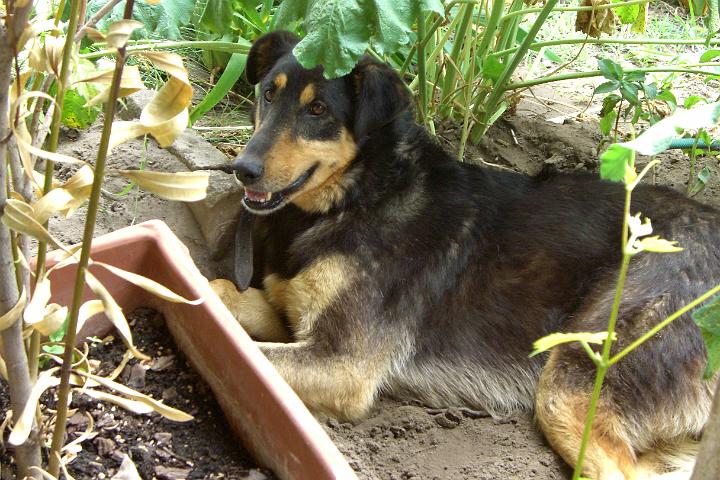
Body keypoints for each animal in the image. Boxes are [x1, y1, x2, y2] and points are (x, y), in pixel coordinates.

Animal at [210, 31, 720, 478]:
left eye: (317, 109)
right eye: (268, 95)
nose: (241, 169)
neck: (363, 191)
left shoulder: (342, 365)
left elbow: (258, 358)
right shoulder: (296, 320)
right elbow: (224, 293)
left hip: (578, 374)